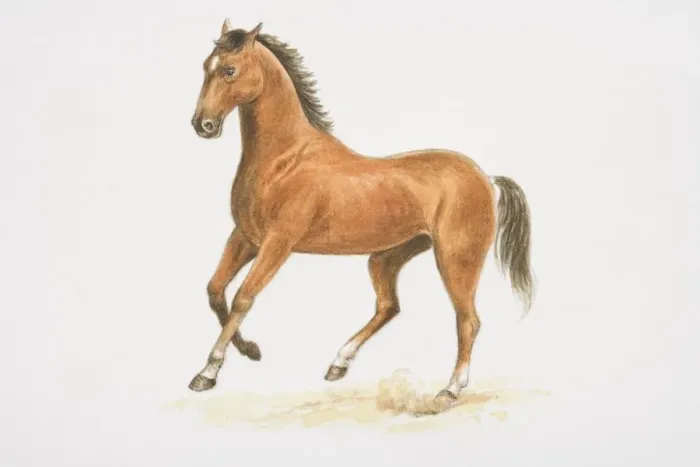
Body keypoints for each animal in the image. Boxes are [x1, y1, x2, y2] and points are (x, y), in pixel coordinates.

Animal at [188, 20, 534, 412]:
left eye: (229, 70)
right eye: (206, 67)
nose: (203, 125)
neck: (284, 159)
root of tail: (487, 178)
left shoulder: (278, 243)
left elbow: (244, 297)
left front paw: (207, 373)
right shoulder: (246, 237)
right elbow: (216, 291)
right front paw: (250, 350)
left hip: (456, 260)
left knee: (468, 320)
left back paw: (449, 390)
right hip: (386, 257)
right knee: (390, 306)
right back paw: (339, 363)